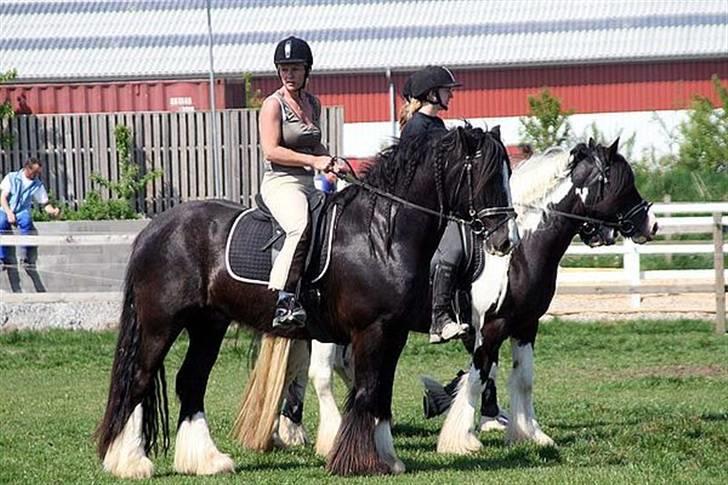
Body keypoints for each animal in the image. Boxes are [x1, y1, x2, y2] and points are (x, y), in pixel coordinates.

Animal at [95, 124, 516, 476]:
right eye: (486, 175)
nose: (504, 240)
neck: (380, 234)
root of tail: (156, 228)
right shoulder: (371, 331)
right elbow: (367, 391)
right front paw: (357, 461)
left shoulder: (393, 333)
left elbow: (381, 394)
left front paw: (387, 458)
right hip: (160, 325)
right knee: (138, 379)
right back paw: (129, 462)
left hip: (207, 324)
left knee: (190, 382)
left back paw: (207, 461)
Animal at [274, 138, 660, 456]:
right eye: (624, 182)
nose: (651, 224)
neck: (521, 248)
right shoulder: (489, 326)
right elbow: (479, 374)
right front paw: (462, 435)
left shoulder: (525, 325)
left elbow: (521, 378)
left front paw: (529, 433)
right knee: (321, 372)